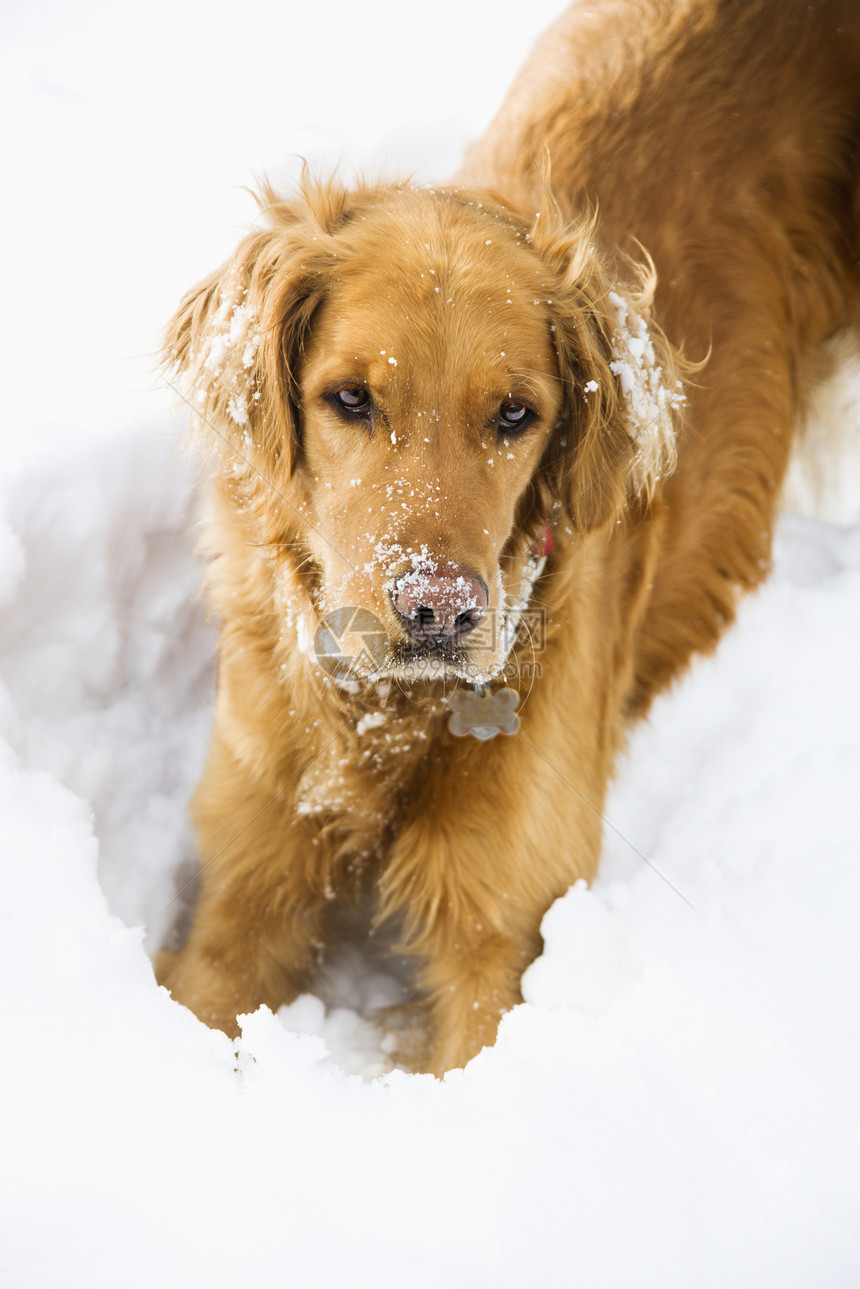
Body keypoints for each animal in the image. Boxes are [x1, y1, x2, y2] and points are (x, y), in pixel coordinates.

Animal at [154, 0, 860, 1077]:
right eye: (349, 397)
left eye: (516, 413)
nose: (436, 610)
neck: (387, 717)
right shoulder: (242, 890)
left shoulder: (504, 941)